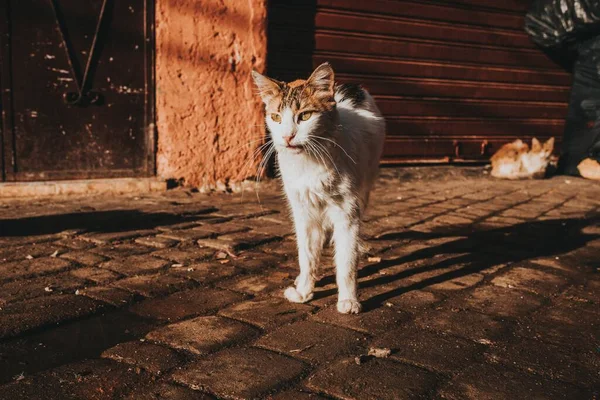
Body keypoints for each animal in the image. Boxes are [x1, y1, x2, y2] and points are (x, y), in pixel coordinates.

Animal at [252, 62, 384, 314]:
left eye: (305, 116)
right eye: (275, 117)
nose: (287, 136)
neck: (310, 163)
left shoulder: (347, 212)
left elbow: (346, 261)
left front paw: (348, 299)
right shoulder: (304, 212)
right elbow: (307, 256)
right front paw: (304, 291)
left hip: (364, 190)